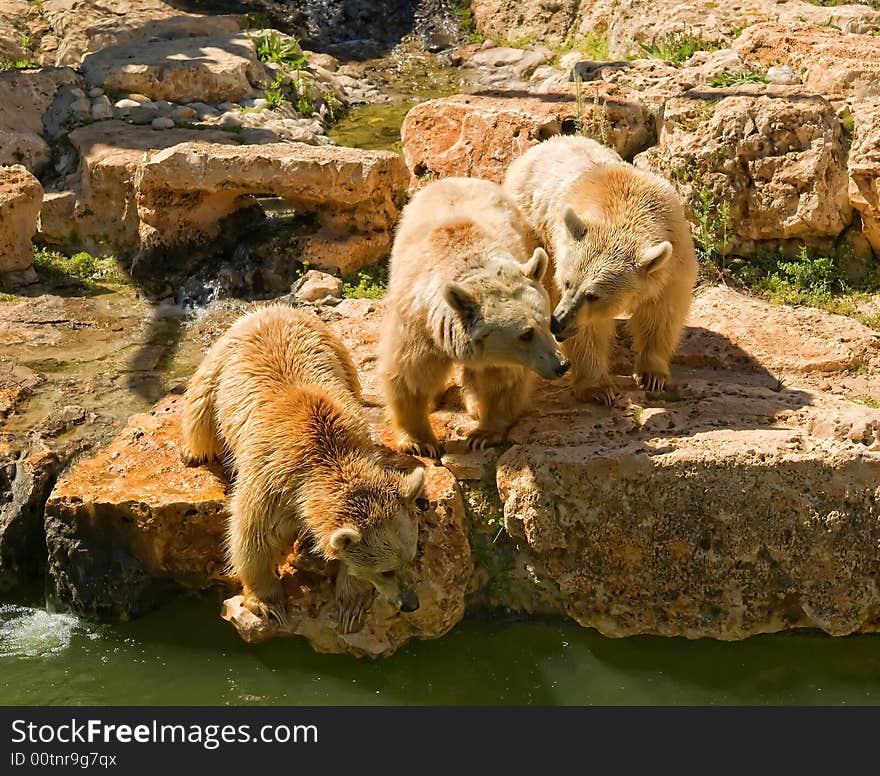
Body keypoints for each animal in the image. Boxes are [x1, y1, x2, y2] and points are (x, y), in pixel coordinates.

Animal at [180, 306, 426, 632]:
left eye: (411, 557)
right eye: (386, 570)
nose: (411, 604)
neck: (324, 456)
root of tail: (274, 309)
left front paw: (350, 603)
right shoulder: (272, 480)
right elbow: (252, 534)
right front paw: (269, 603)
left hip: (342, 358)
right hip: (219, 372)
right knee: (200, 417)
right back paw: (191, 451)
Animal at [378, 176, 572, 454]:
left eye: (549, 323)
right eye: (526, 334)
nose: (562, 365)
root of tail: (458, 178)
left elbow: (502, 380)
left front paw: (483, 434)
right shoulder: (418, 322)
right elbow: (410, 373)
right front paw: (419, 442)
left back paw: (474, 403)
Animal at [506, 136, 696, 404]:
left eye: (593, 295)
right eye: (567, 282)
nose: (558, 323)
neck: (629, 206)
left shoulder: (673, 259)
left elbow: (662, 312)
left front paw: (653, 375)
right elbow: (589, 330)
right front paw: (598, 389)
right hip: (532, 223)